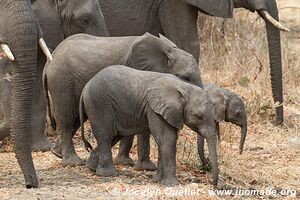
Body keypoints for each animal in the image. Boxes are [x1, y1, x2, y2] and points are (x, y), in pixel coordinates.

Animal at [43, 32, 203, 167]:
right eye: (185, 77)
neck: (168, 51)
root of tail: (48, 64)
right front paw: (133, 165)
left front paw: (139, 166)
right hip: (62, 81)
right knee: (67, 118)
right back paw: (72, 162)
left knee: (76, 117)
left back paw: (57, 153)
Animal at [79, 65, 219, 186]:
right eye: (199, 116)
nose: (213, 184)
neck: (185, 87)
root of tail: (85, 87)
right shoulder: (155, 109)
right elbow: (167, 139)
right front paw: (171, 185)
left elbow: (164, 140)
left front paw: (157, 180)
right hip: (99, 104)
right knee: (105, 136)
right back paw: (108, 174)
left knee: (113, 136)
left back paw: (91, 167)